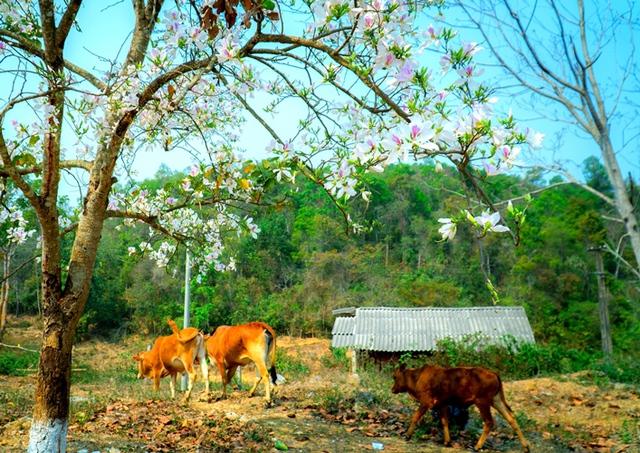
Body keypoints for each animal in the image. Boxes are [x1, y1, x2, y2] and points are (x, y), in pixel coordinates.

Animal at [390, 364, 528, 452]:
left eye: (395, 376)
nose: (392, 389)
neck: (416, 377)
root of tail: (494, 373)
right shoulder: (442, 404)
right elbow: (445, 422)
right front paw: (447, 441)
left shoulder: (426, 402)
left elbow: (415, 417)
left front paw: (407, 435)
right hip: (496, 400)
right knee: (511, 419)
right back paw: (526, 447)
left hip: (482, 402)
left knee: (489, 422)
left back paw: (477, 446)